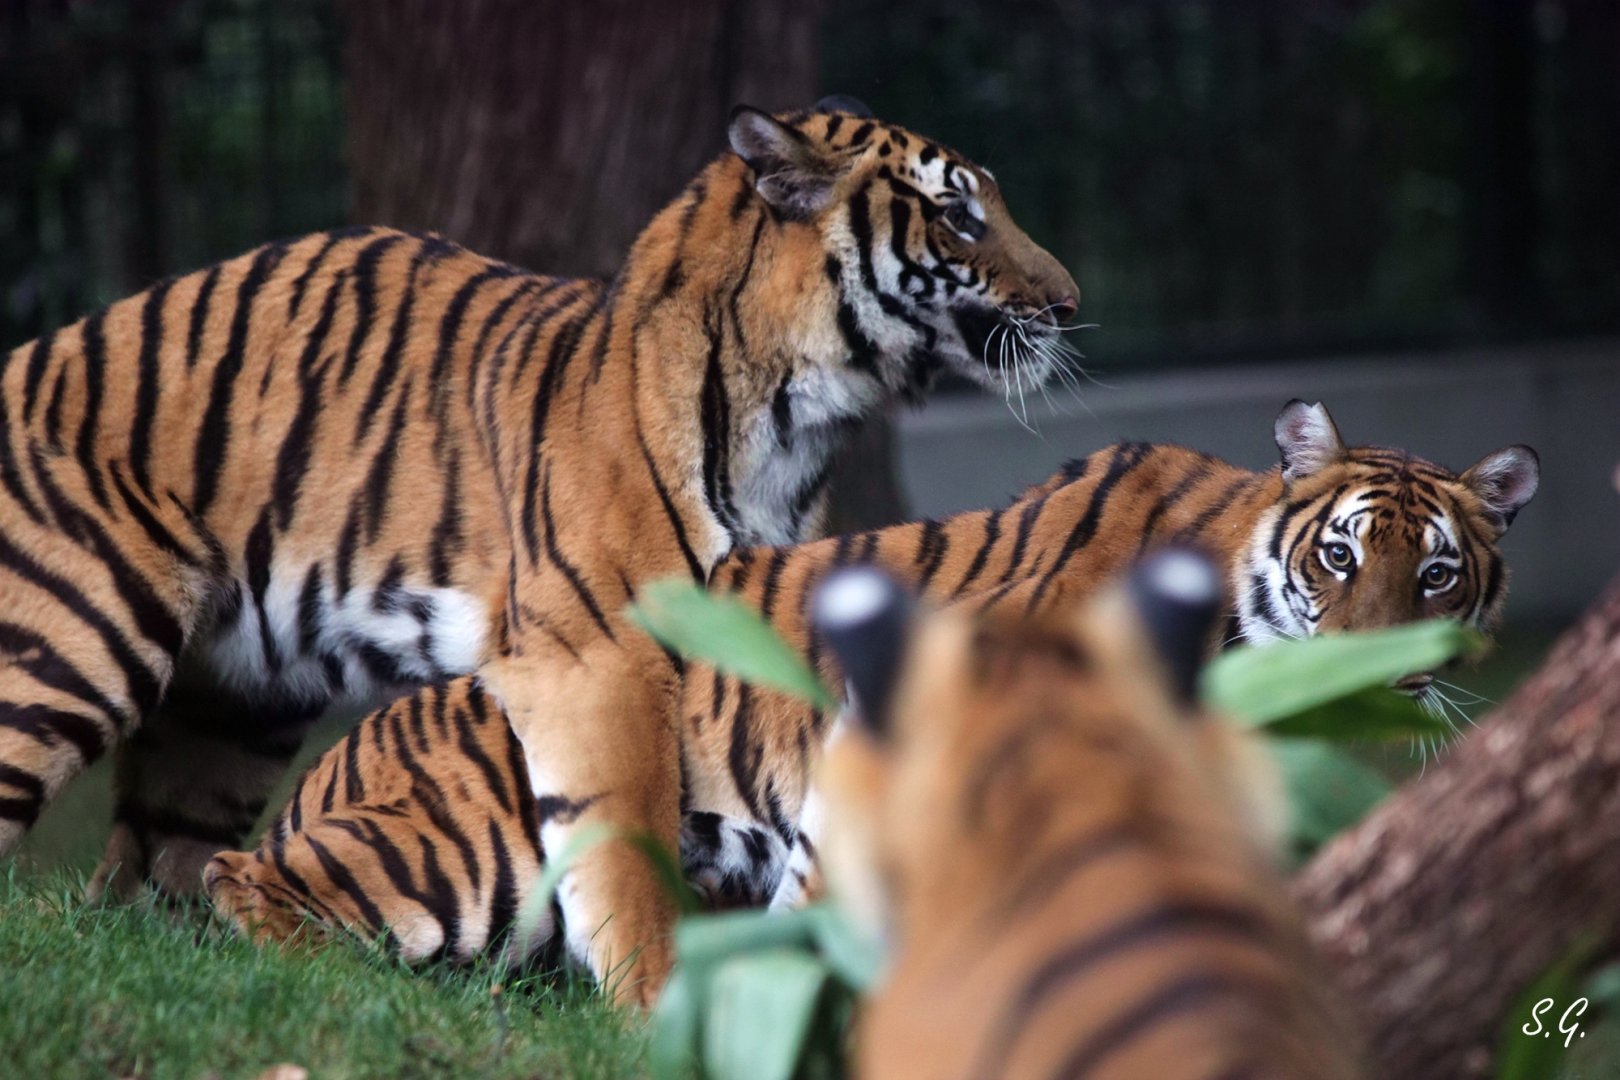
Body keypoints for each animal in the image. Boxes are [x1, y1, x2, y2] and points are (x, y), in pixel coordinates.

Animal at [0, 96, 1078, 1003]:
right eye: (960, 215)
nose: (1069, 305)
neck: (801, 418)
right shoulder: (603, 656)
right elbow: (629, 838)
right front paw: (655, 1004)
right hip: (77, 644)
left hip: (232, 715)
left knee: (150, 879)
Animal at [204, 399, 1535, 996]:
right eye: (1339, 559)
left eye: (1434, 575)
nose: (1382, 669)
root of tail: (356, 742)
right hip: (466, 860)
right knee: (236, 879)